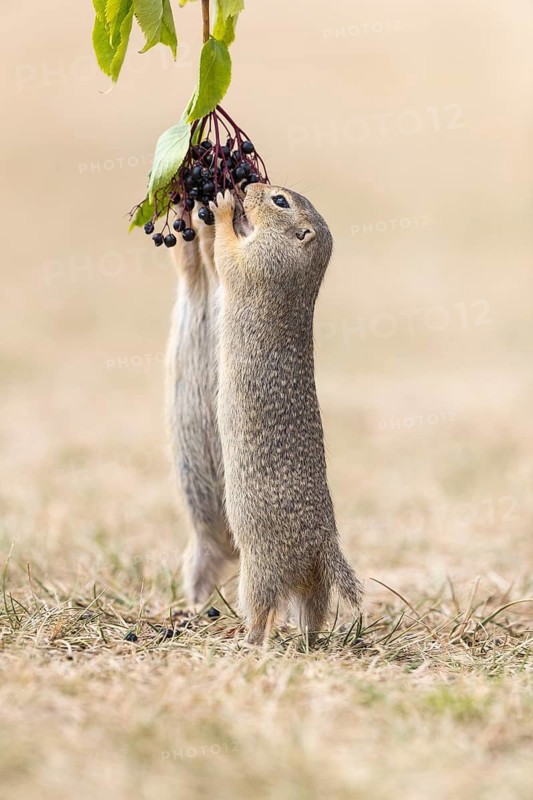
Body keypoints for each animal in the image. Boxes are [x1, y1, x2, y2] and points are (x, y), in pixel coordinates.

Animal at [210, 185, 363, 645]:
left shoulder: (261, 263)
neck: (303, 273)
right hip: (314, 583)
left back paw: (248, 641)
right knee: (313, 611)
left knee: (263, 609)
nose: (249, 187)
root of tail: (323, 545)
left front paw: (221, 207)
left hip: (259, 567)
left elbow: (227, 257)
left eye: (280, 201)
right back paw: (308, 640)